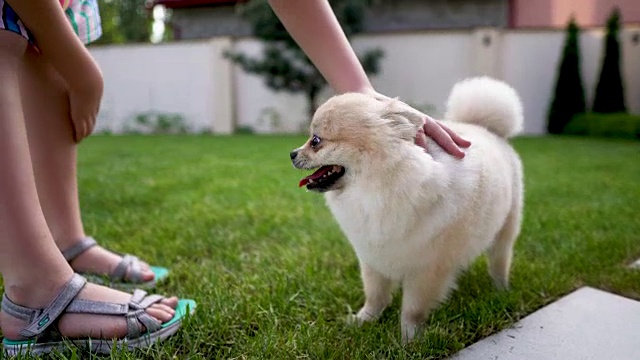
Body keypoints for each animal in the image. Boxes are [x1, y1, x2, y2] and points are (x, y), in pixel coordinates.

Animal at [290, 76, 524, 344]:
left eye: (315, 141)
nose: (292, 154)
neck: (378, 188)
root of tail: (484, 127)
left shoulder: (426, 269)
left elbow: (413, 309)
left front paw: (409, 340)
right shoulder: (372, 256)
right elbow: (375, 295)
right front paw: (364, 320)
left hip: (506, 228)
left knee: (500, 258)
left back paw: (501, 289)